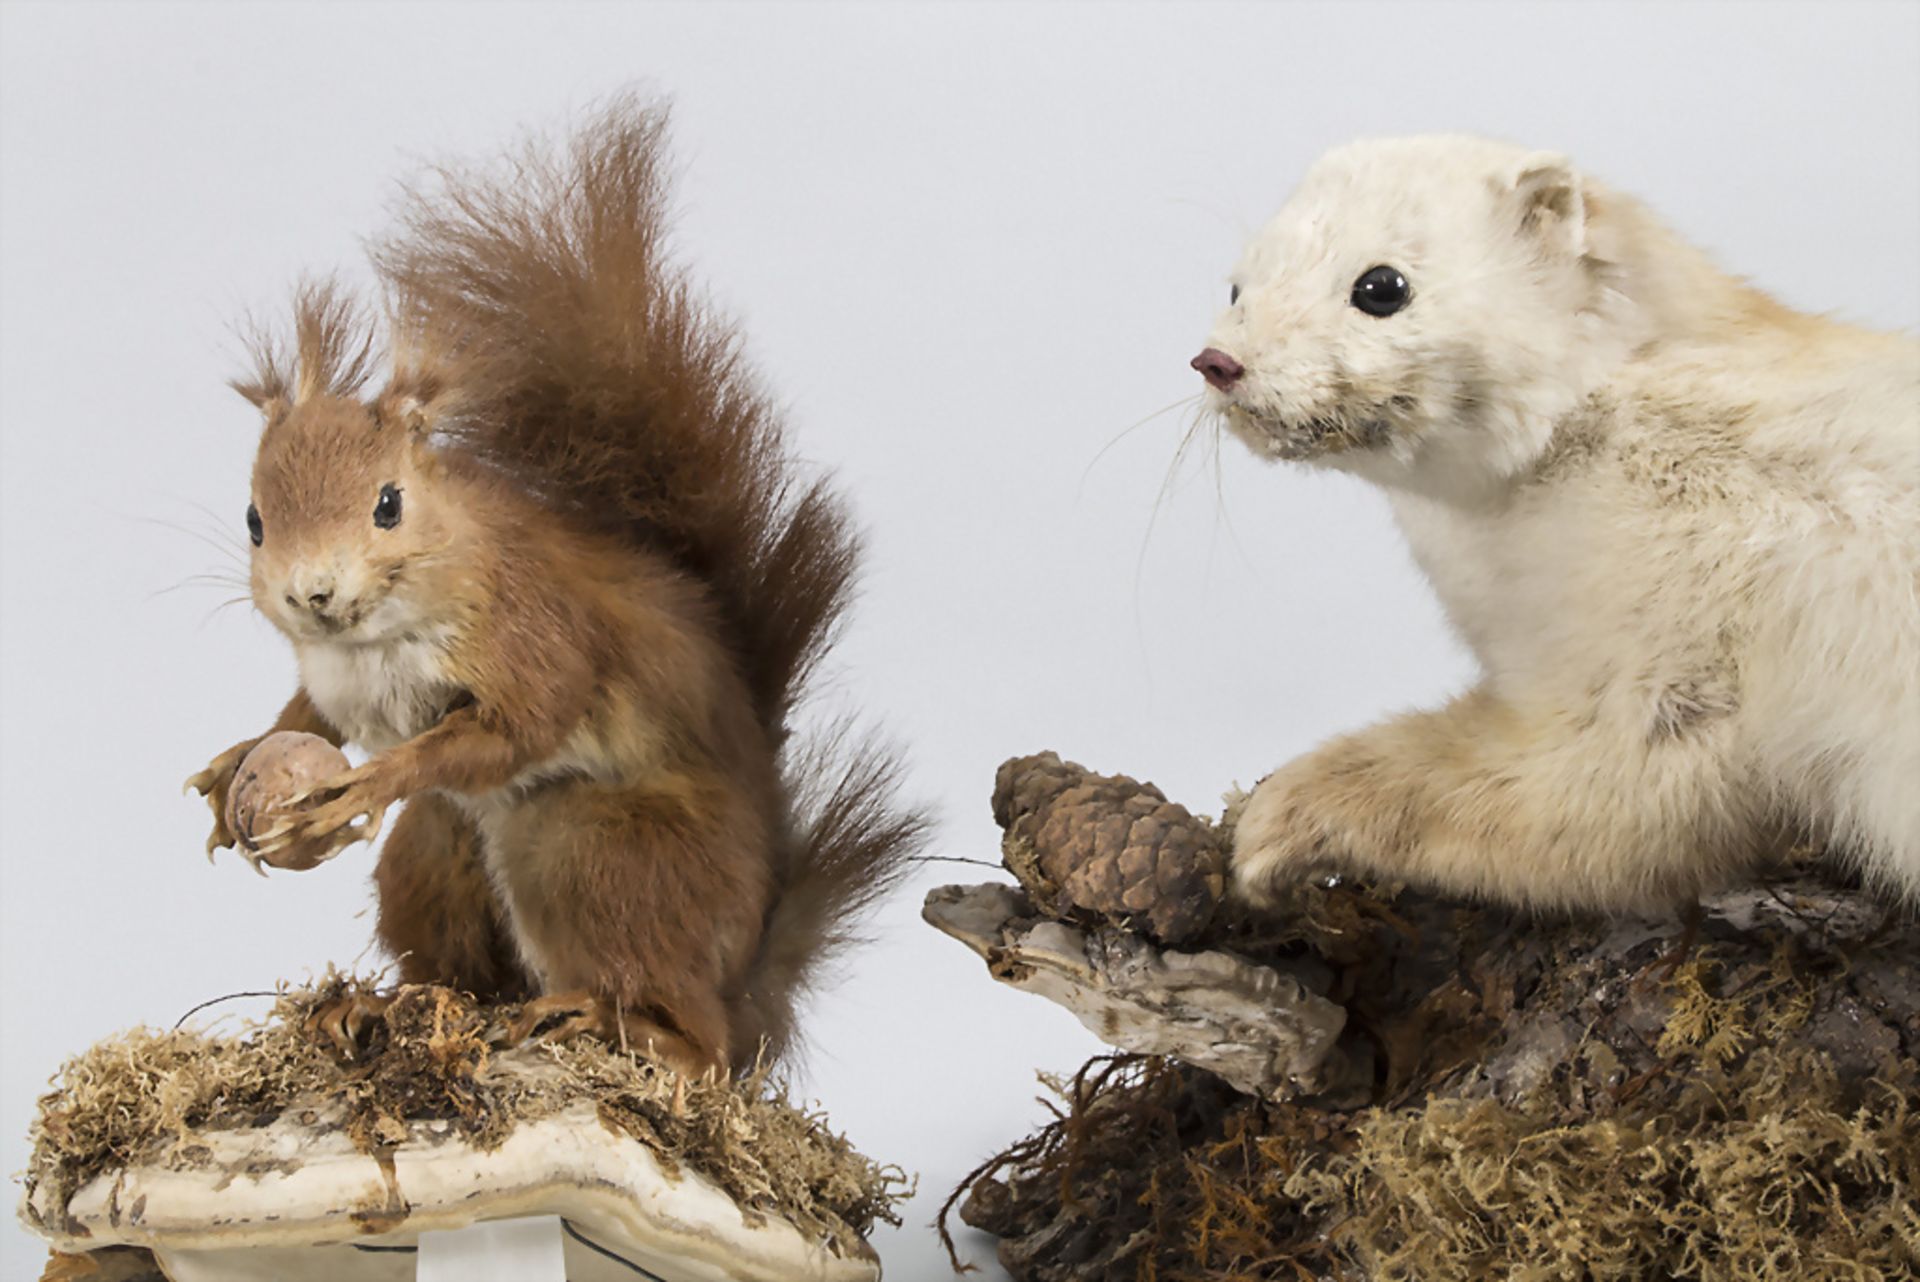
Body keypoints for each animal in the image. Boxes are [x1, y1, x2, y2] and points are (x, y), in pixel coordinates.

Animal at [187, 100, 929, 1074]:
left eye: (388, 503)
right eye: (253, 519)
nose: (311, 594)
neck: (376, 642)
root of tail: (751, 980)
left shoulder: (535, 627)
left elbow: (516, 726)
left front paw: (363, 784)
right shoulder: (335, 683)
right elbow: (307, 717)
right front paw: (235, 764)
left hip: (584, 853)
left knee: (703, 1043)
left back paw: (618, 1026)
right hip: (441, 851)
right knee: (461, 957)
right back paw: (380, 1006)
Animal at [1190, 138, 1920, 909]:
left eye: (1381, 285)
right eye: (1237, 286)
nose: (1217, 362)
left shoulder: (1677, 632)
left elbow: (1604, 801)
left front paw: (1278, 822)